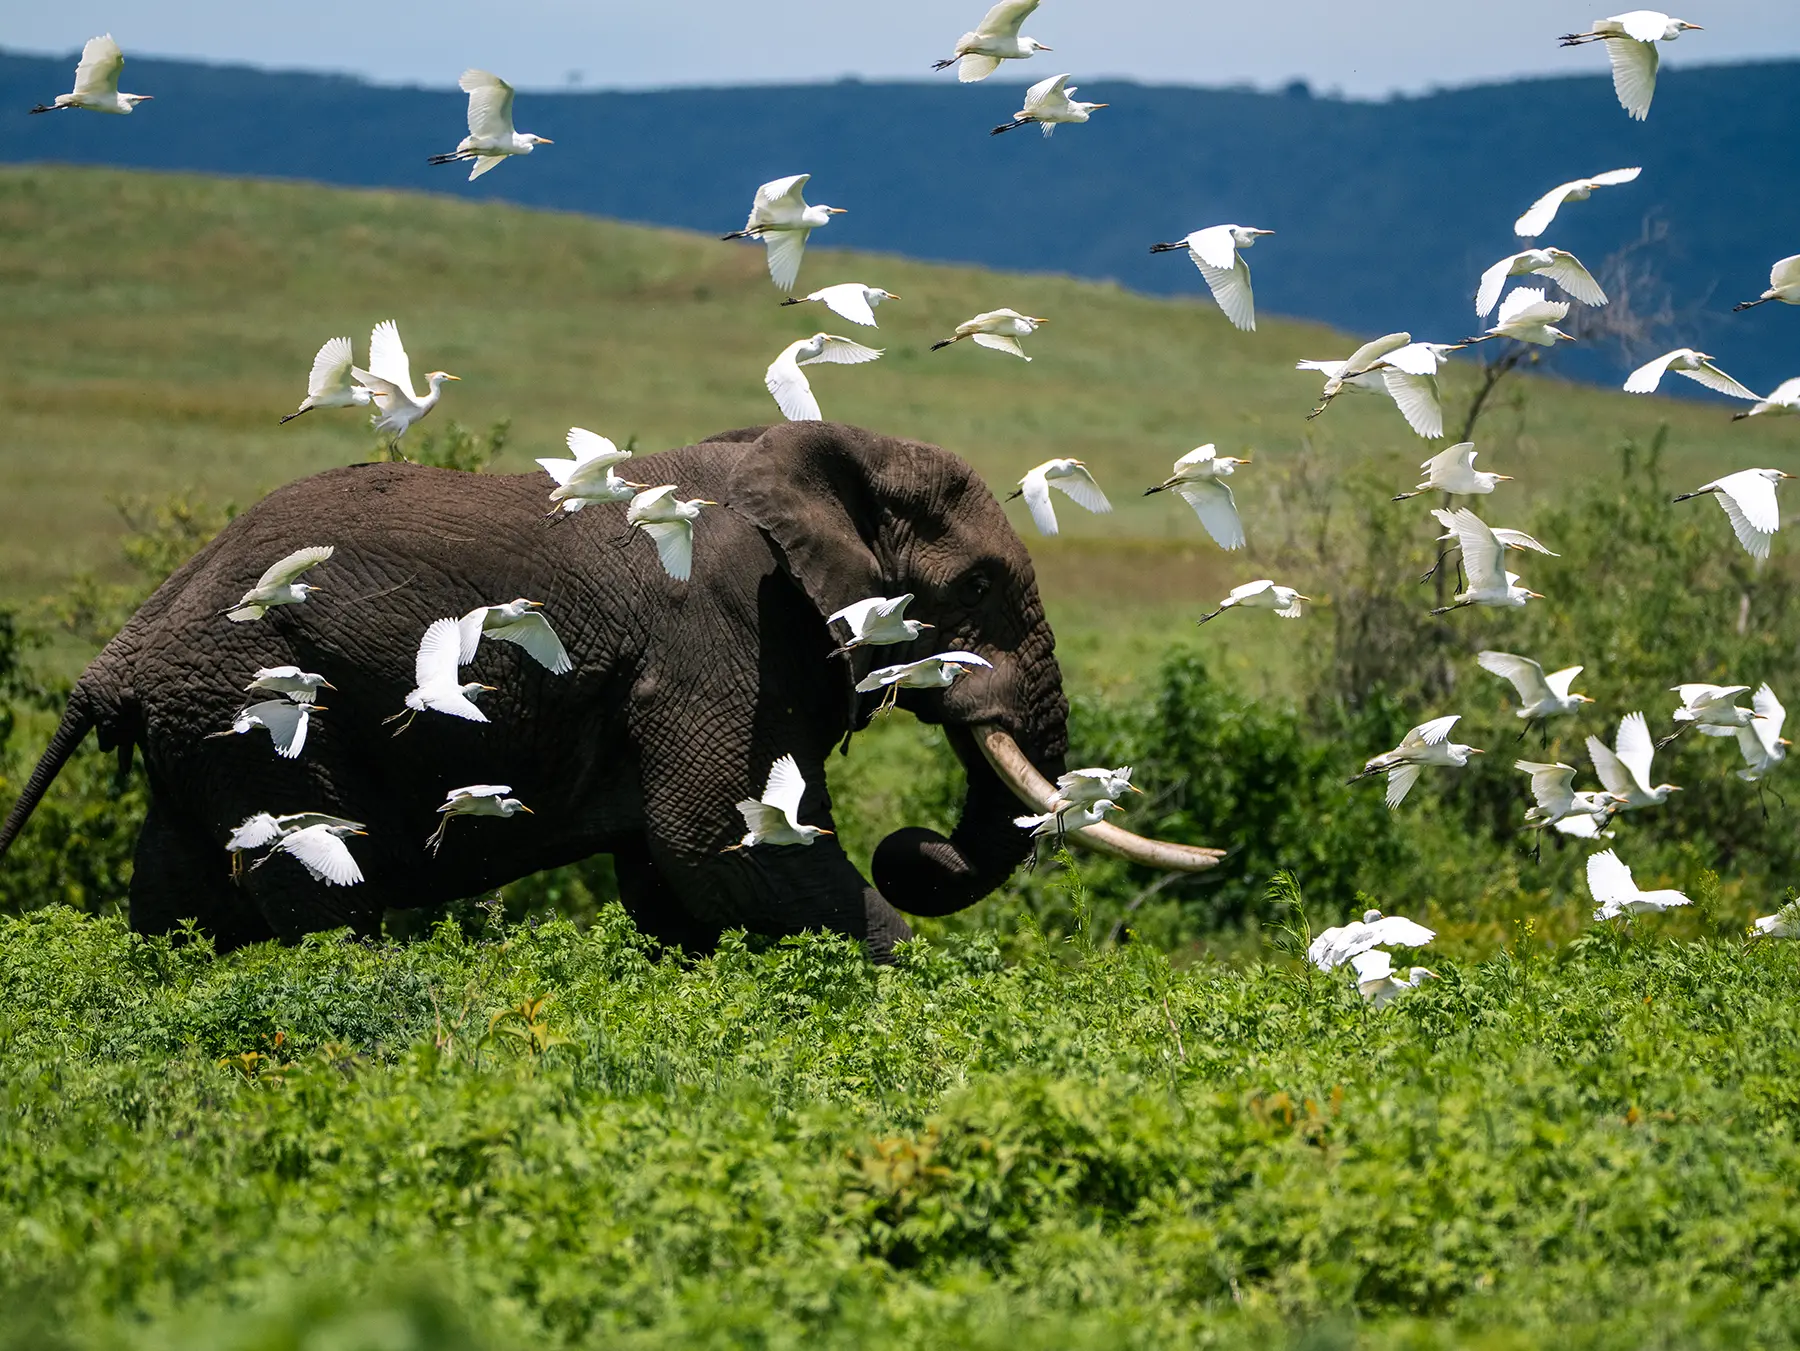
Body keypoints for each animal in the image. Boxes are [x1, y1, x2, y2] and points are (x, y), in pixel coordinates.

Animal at [0, 422, 1217, 959]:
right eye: (975, 586)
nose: (911, 847)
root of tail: (122, 647)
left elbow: (677, 882)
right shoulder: (727, 627)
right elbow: (717, 844)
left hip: (199, 733)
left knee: (178, 901)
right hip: (246, 716)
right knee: (317, 894)